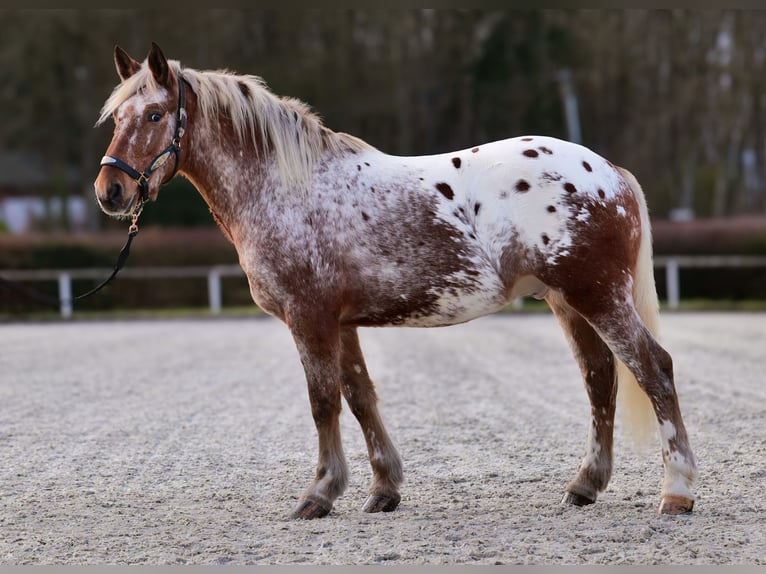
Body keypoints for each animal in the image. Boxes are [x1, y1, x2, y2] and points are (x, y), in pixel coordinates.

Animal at [93, 42, 700, 520]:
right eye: (117, 119)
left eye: (154, 115)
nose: (110, 192)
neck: (286, 187)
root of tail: (609, 172)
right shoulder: (340, 323)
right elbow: (361, 397)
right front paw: (383, 489)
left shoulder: (309, 317)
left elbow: (323, 402)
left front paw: (319, 494)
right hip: (568, 302)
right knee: (601, 380)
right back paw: (584, 486)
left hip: (597, 296)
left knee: (654, 369)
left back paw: (677, 492)